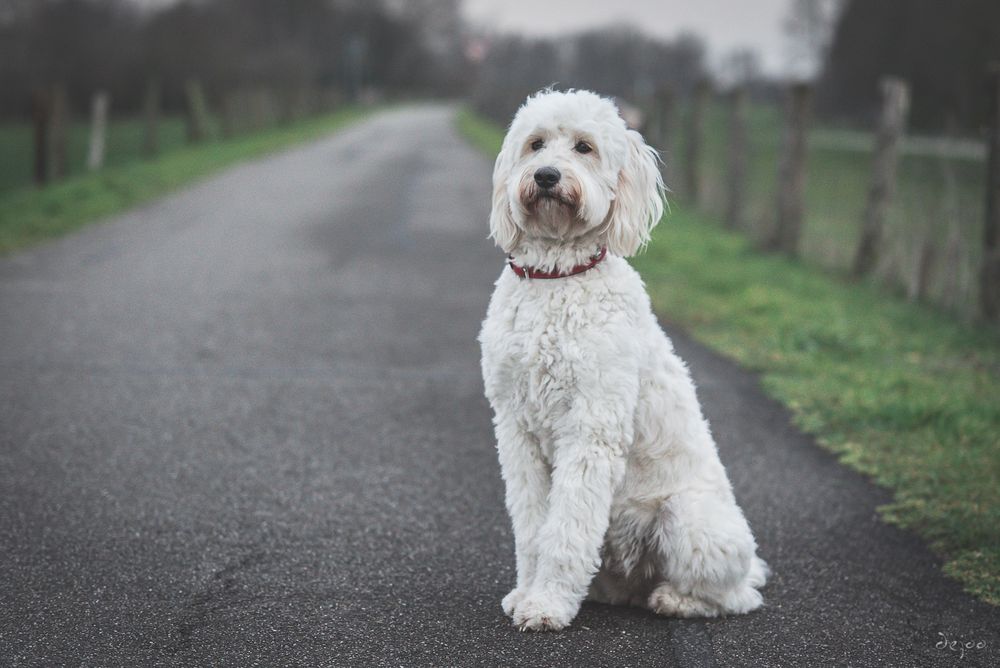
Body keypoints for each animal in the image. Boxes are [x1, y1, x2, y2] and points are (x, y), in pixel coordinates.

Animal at [480, 90, 768, 632]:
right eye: (536, 144)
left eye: (584, 147)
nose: (546, 175)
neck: (558, 278)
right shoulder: (516, 429)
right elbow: (532, 527)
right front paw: (527, 592)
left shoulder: (591, 428)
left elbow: (565, 530)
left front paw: (547, 605)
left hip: (690, 522)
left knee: (738, 596)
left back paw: (675, 600)